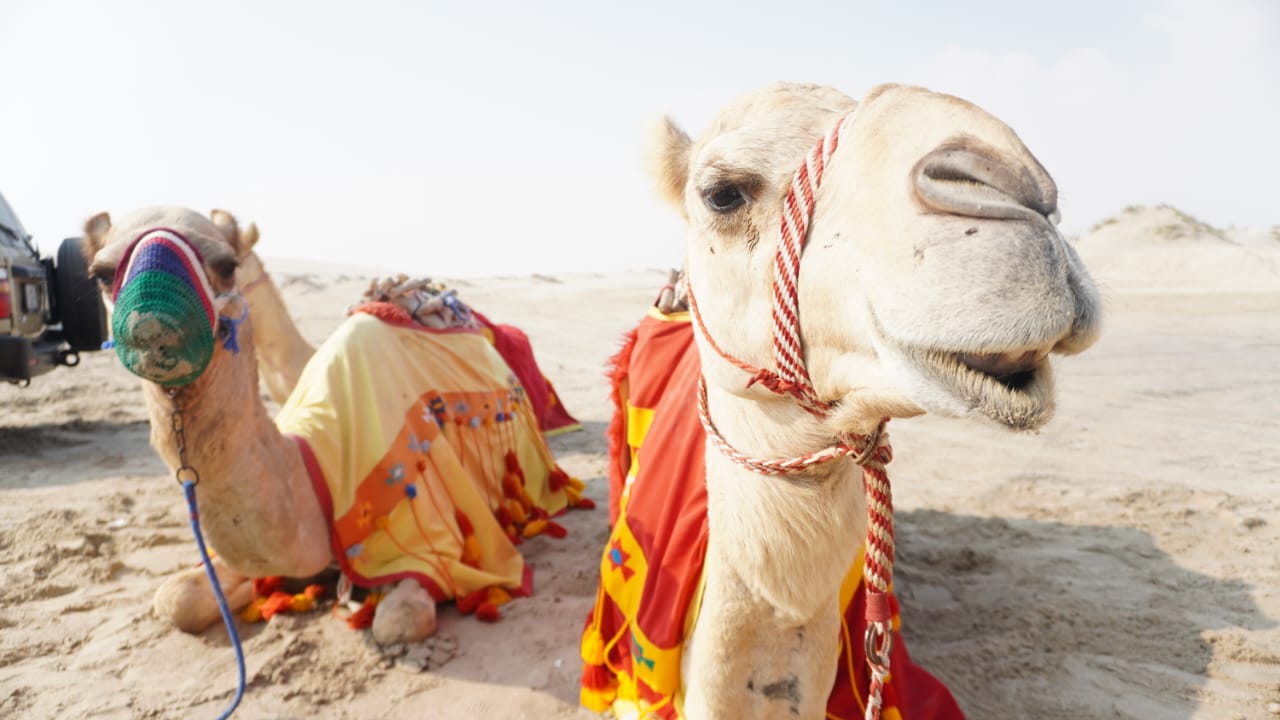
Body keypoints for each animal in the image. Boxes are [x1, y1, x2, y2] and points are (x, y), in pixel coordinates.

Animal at [80, 206, 581, 638]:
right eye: (101, 273)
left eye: (227, 264)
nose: (153, 323)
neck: (311, 460)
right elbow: (175, 598)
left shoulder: (431, 541)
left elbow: (398, 620)